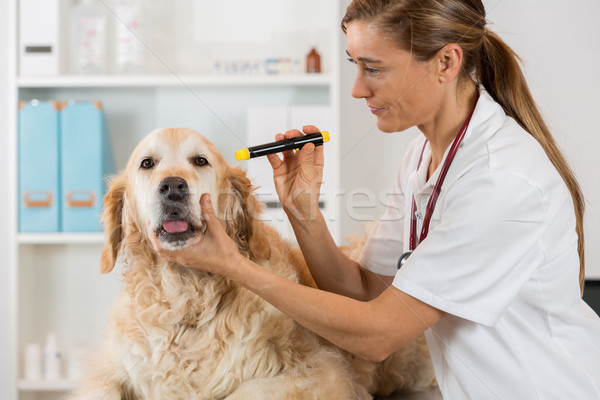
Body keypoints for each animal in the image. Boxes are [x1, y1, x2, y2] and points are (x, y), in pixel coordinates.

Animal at [69, 129, 436, 400]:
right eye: (147, 163)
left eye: (200, 161)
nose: (173, 186)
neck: (186, 303)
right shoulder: (109, 365)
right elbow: (101, 389)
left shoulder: (327, 371)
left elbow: (244, 392)